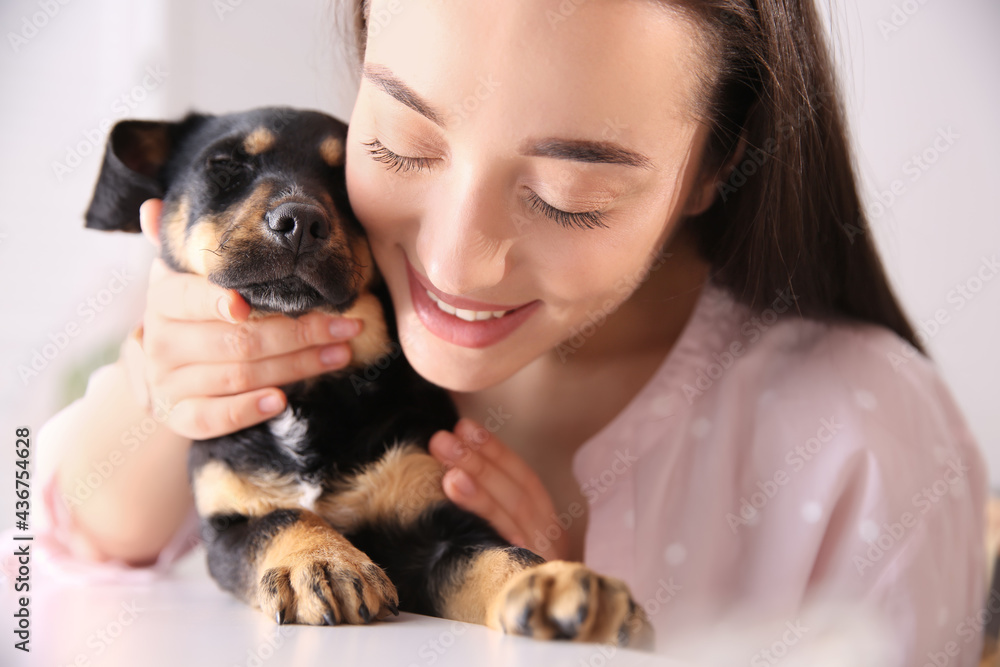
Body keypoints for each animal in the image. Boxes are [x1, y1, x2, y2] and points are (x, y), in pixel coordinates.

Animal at [82, 108, 652, 648]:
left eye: (344, 182)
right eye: (225, 166)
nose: (299, 220)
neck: (310, 399)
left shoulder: (439, 526)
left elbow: (501, 555)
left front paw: (556, 582)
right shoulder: (226, 526)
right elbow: (282, 517)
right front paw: (322, 561)